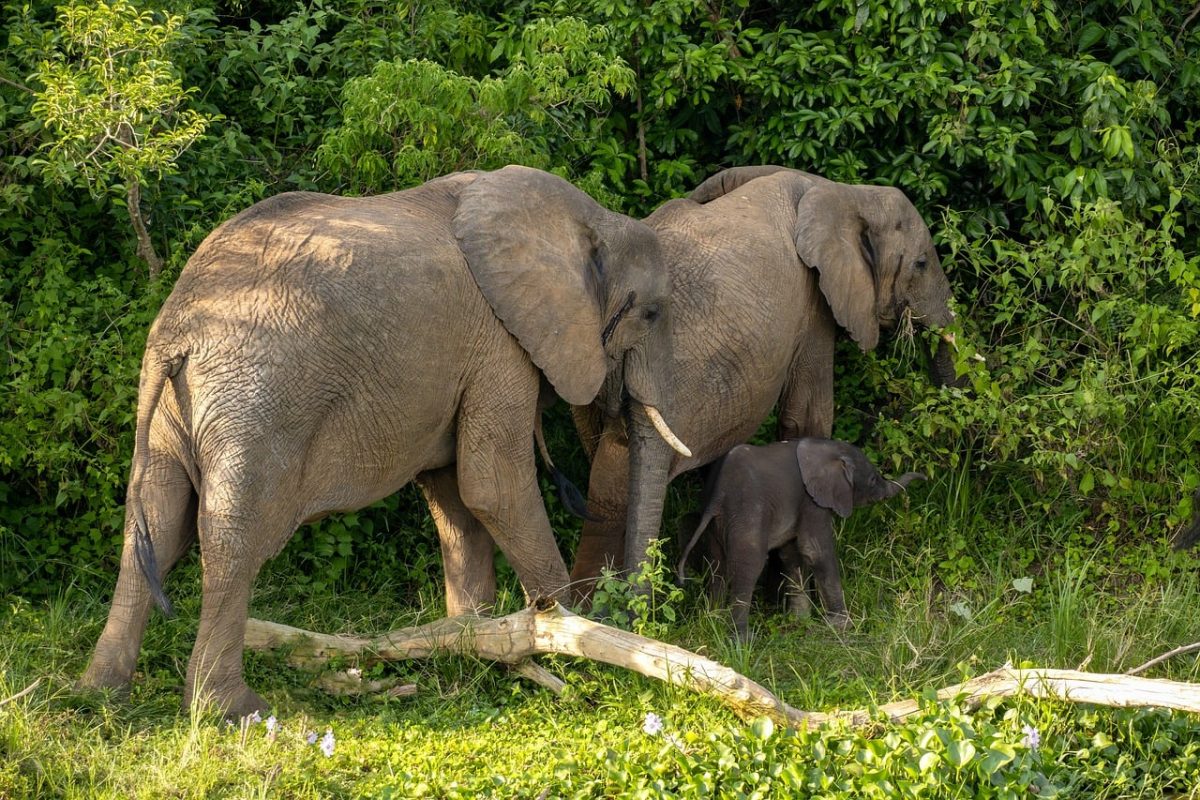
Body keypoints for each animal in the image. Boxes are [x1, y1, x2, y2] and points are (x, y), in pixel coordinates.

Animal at [77, 165, 690, 717]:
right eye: (651, 312)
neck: (586, 219)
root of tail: (175, 331)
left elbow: (455, 498)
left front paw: (471, 640)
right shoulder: (498, 344)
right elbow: (492, 486)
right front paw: (564, 638)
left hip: (172, 411)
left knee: (155, 519)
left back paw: (100, 695)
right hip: (255, 402)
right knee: (235, 536)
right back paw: (231, 710)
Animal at [676, 438, 925, 640]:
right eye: (873, 480)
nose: (924, 477)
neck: (828, 448)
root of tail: (718, 495)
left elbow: (792, 554)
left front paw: (800, 620)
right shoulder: (812, 500)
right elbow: (815, 551)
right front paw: (841, 626)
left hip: (717, 522)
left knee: (717, 566)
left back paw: (713, 621)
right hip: (747, 513)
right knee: (748, 567)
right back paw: (741, 640)